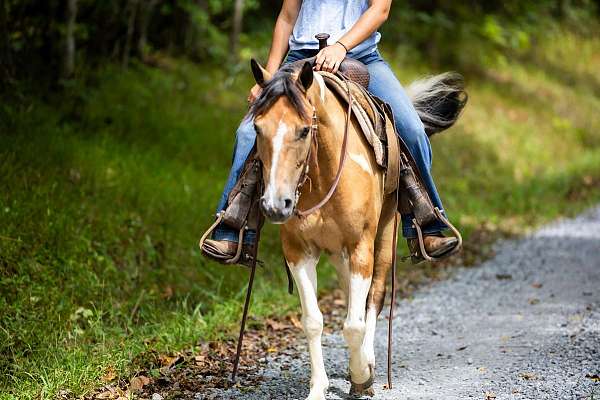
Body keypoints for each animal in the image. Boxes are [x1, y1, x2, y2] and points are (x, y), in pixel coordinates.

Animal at [248, 60, 464, 400]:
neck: (323, 172)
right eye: (258, 128)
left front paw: (362, 375)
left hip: (383, 237)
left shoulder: (361, 245)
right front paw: (318, 388)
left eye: (304, 130)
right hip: (338, 253)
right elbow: (313, 320)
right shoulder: (298, 251)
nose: (275, 205)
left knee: (373, 297)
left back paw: (367, 360)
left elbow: (354, 323)